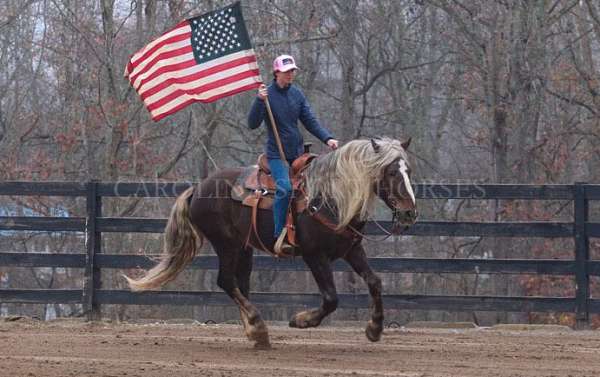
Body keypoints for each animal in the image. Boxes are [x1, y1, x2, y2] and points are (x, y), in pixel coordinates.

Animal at [124, 137, 418, 348]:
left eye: (409, 171)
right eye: (392, 172)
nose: (409, 213)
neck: (331, 197)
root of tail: (198, 188)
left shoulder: (352, 250)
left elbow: (375, 282)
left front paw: (375, 328)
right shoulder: (314, 256)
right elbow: (331, 298)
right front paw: (302, 320)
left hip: (244, 248)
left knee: (241, 284)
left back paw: (255, 331)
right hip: (226, 244)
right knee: (226, 281)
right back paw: (257, 326)